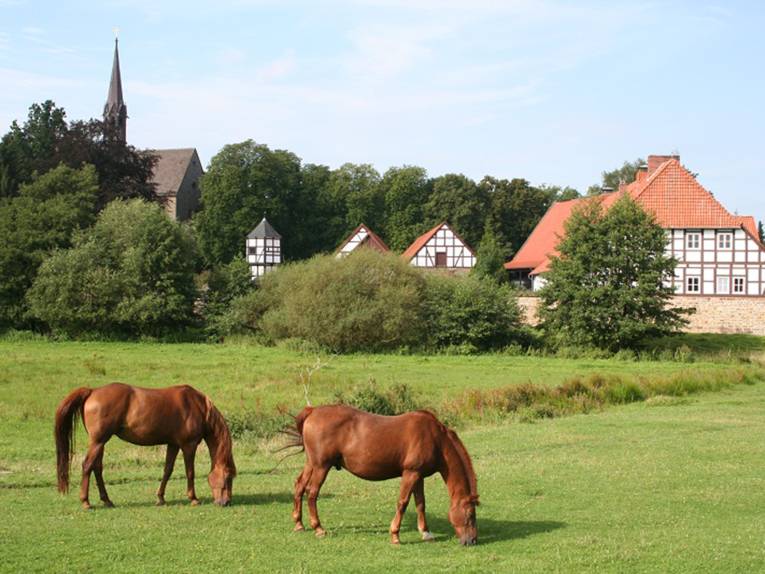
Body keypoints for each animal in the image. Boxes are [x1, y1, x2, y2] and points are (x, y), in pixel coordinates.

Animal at [54, 383, 236, 509]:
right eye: (228, 477)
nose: (226, 502)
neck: (198, 407)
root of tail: (92, 391)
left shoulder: (173, 444)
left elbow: (167, 470)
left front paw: (160, 498)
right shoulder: (188, 446)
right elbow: (190, 472)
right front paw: (193, 498)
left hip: (100, 442)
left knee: (97, 468)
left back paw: (107, 500)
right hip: (98, 441)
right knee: (87, 466)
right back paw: (85, 502)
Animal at [286, 405, 479, 545]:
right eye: (470, 514)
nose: (472, 541)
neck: (435, 438)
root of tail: (313, 411)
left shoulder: (419, 475)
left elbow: (421, 504)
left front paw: (426, 532)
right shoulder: (410, 473)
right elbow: (403, 503)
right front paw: (395, 535)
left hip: (311, 464)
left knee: (299, 486)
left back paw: (299, 524)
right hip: (321, 467)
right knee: (312, 493)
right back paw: (318, 528)